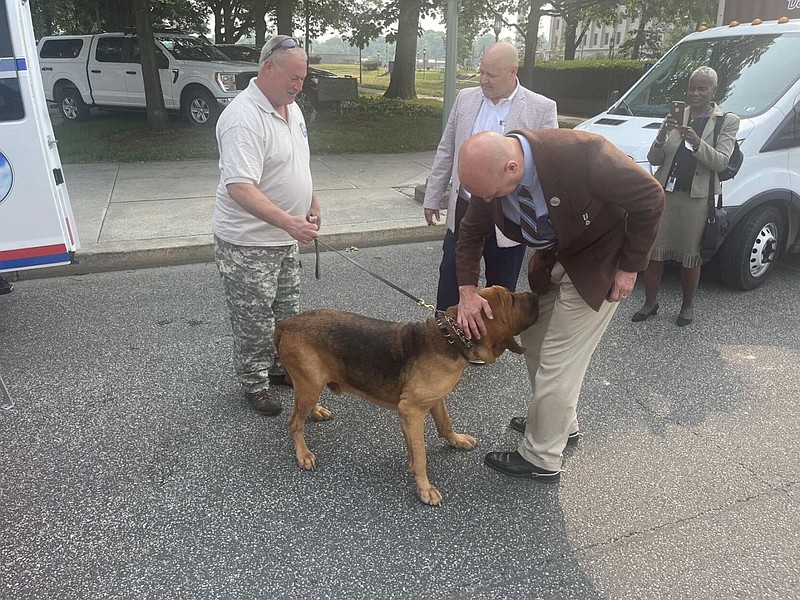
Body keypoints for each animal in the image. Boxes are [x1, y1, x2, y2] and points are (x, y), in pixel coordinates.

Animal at [274, 286, 536, 506]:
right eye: (512, 300)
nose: (536, 295)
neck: (452, 337)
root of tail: (287, 322)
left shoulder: (435, 400)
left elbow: (445, 425)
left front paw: (457, 440)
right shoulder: (412, 411)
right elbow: (420, 455)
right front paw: (425, 489)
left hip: (311, 385)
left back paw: (317, 411)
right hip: (309, 386)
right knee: (294, 423)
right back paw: (303, 454)